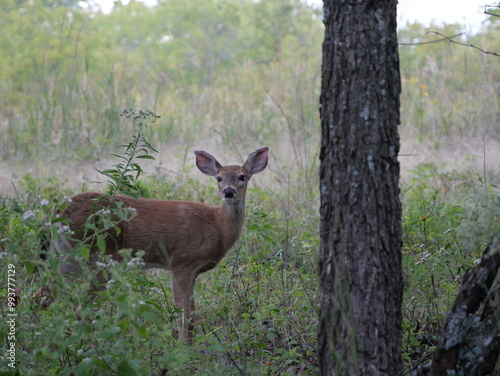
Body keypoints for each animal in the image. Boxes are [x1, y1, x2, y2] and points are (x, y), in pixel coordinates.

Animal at [45, 146, 268, 344]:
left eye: (242, 176)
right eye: (219, 178)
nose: (229, 192)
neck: (216, 225)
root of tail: (61, 210)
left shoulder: (193, 270)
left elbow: (192, 316)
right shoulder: (181, 262)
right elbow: (184, 316)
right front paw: (184, 352)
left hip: (67, 257)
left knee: (45, 295)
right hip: (100, 257)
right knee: (82, 308)